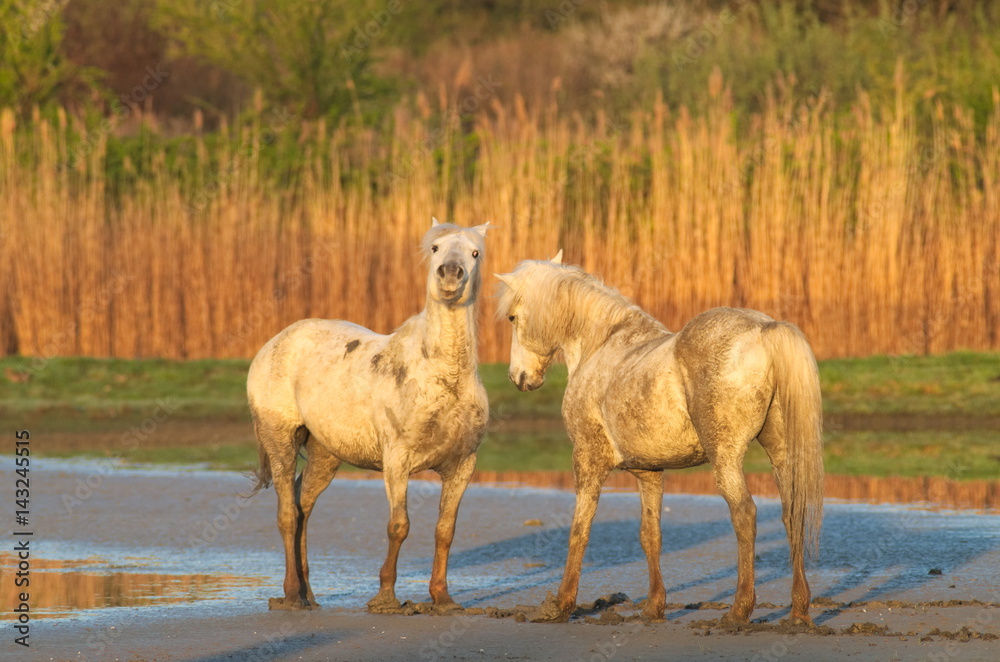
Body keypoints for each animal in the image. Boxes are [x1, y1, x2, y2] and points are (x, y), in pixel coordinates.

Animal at [247, 218, 490, 613]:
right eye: (435, 248)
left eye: (474, 252)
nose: (450, 275)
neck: (443, 376)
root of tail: (274, 343)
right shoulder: (397, 461)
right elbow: (399, 526)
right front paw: (385, 597)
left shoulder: (462, 464)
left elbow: (445, 530)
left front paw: (442, 598)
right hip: (279, 439)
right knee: (287, 514)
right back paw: (291, 595)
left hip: (325, 454)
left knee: (302, 506)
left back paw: (308, 593)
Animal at [495, 253, 824, 625]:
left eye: (512, 316)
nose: (519, 377)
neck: (602, 345)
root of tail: (764, 329)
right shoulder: (648, 472)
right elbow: (650, 534)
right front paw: (654, 606)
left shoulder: (588, 460)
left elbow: (579, 530)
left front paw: (562, 604)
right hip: (782, 453)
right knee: (792, 512)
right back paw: (799, 609)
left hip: (726, 458)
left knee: (744, 514)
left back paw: (739, 610)